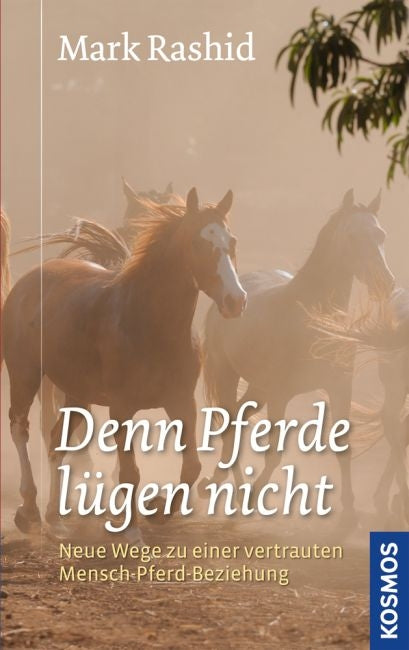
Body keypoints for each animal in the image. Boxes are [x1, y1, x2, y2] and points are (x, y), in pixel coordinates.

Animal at [2, 188, 247, 540]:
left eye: (233, 242)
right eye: (198, 243)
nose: (235, 301)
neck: (147, 321)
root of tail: (31, 279)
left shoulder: (182, 402)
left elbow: (192, 466)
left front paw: (158, 510)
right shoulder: (121, 409)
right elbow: (130, 471)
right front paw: (130, 530)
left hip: (77, 393)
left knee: (56, 441)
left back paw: (54, 517)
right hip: (24, 374)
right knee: (19, 428)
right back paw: (30, 511)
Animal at [199, 189, 394, 532]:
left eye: (380, 235)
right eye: (352, 236)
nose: (385, 283)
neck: (314, 320)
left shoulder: (340, 387)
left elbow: (343, 448)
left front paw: (349, 513)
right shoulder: (281, 396)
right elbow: (273, 455)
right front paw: (251, 500)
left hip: (258, 389)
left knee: (238, 422)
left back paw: (222, 486)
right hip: (229, 377)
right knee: (231, 428)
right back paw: (232, 495)